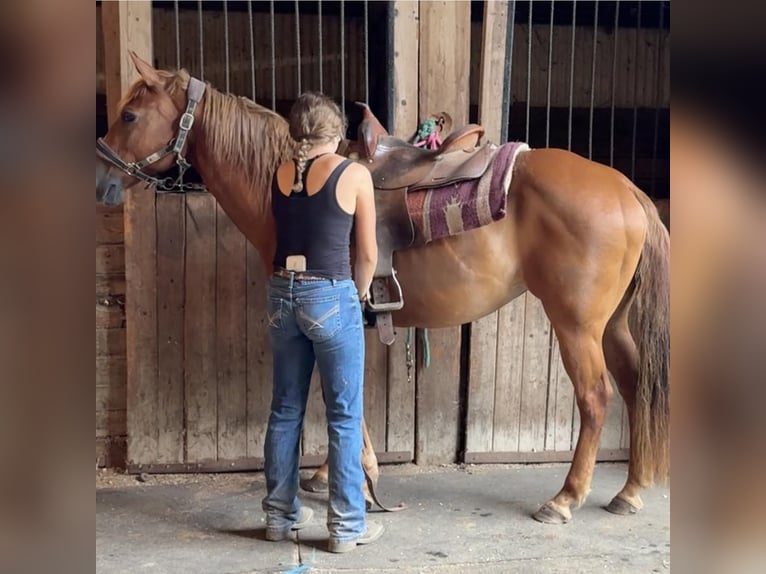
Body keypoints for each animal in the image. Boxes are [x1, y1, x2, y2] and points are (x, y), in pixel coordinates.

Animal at [97, 54, 672, 528]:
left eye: (130, 116)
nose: (103, 181)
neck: (292, 180)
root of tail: (626, 189)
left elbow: (334, 389)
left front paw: (353, 470)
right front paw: (333, 471)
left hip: (576, 325)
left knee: (596, 398)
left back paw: (565, 498)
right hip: (612, 325)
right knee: (635, 386)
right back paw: (630, 490)